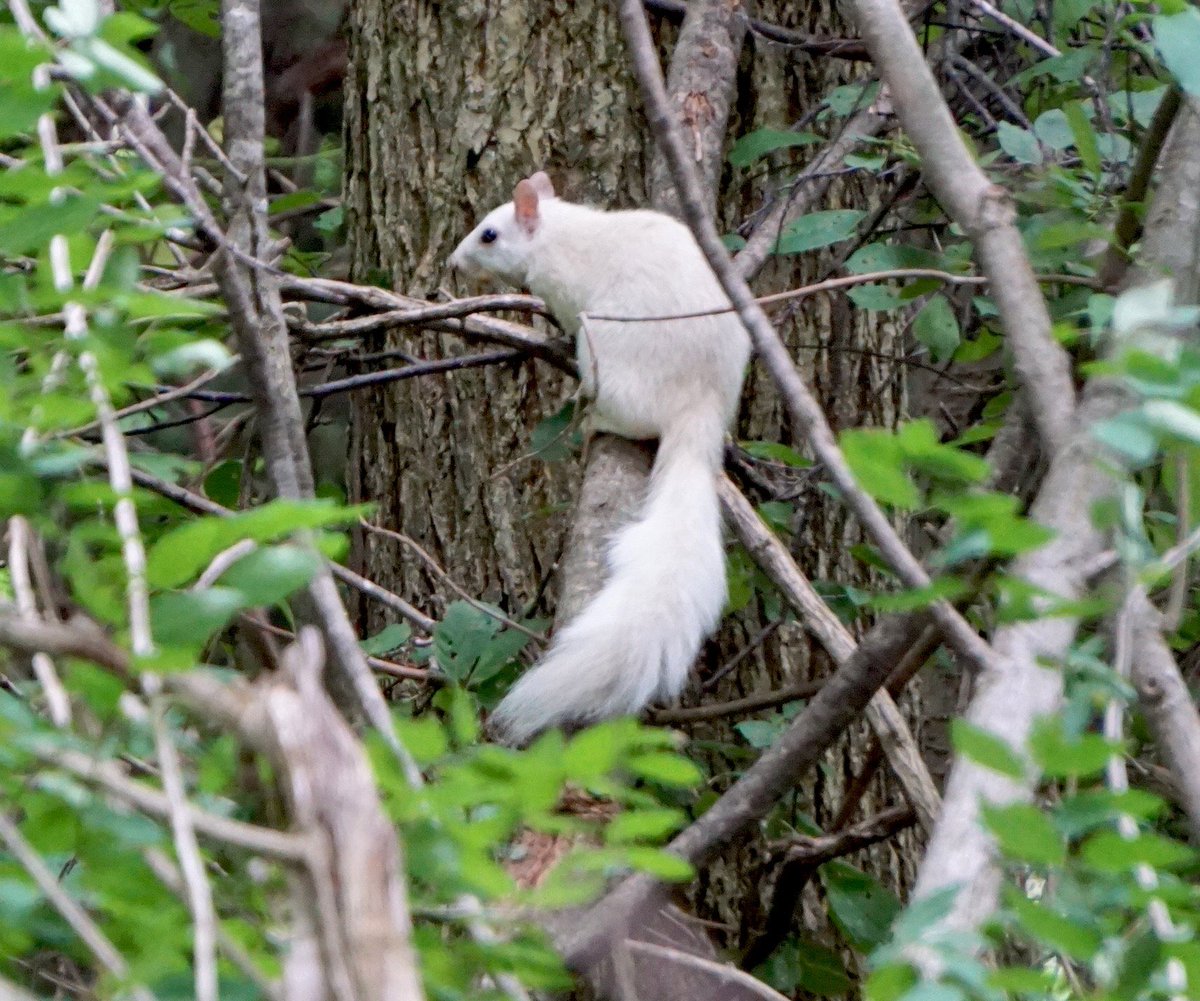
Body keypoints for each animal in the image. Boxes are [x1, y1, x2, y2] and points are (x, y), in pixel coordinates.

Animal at [449, 171, 750, 744]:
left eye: (488, 235)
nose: (454, 262)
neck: (559, 231)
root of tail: (701, 403)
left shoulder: (564, 289)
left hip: (605, 353)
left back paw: (596, 420)